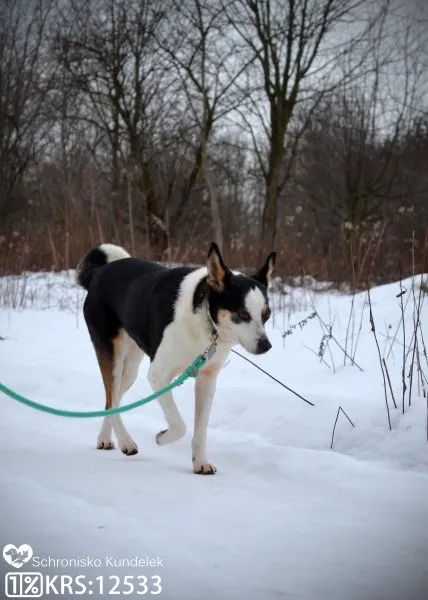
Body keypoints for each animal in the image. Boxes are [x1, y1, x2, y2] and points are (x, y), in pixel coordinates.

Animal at [76, 243, 274, 474]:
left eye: (267, 315)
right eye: (242, 314)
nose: (266, 346)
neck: (203, 318)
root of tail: (97, 274)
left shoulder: (207, 380)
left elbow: (200, 429)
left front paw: (200, 462)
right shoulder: (158, 376)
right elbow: (180, 425)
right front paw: (162, 438)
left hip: (130, 368)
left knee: (111, 400)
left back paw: (105, 439)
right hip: (112, 357)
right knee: (112, 399)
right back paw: (126, 442)